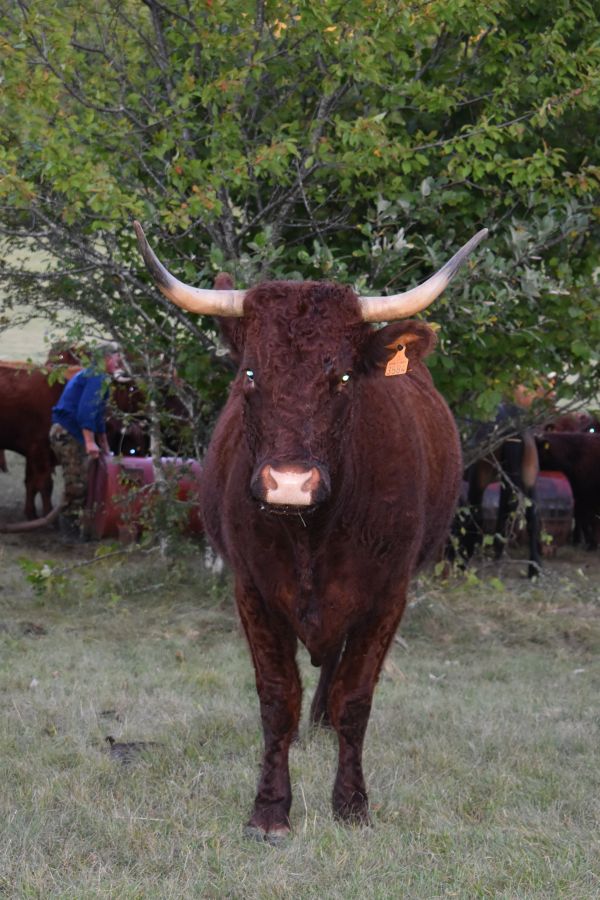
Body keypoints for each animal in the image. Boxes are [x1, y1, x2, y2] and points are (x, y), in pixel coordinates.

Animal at [136, 221, 488, 840]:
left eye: (342, 375)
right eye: (251, 374)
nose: (289, 483)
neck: (311, 533)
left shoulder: (387, 595)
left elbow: (355, 697)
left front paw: (351, 803)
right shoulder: (252, 591)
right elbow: (278, 699)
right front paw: (270, 810)